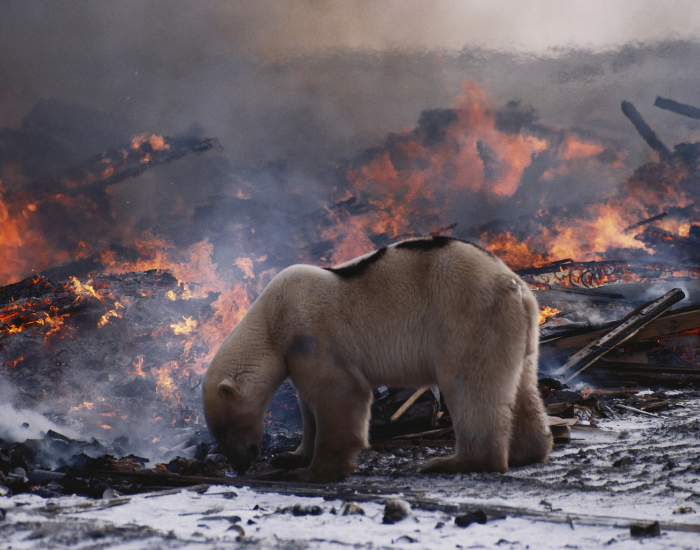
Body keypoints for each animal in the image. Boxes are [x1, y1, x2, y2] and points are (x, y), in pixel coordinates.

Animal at [202, 236, 552, 482]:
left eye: (223, 431)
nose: (240, 464)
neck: (272, 318)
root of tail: (515, 286)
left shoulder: (313, 335)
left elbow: (338, 394)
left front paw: (313, 471)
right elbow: (308, 406)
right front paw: (292, 455)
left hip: (467, 317)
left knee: (470, 386)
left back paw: (454, 461)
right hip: (519, 332)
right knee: (523, 387)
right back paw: (528, 451)